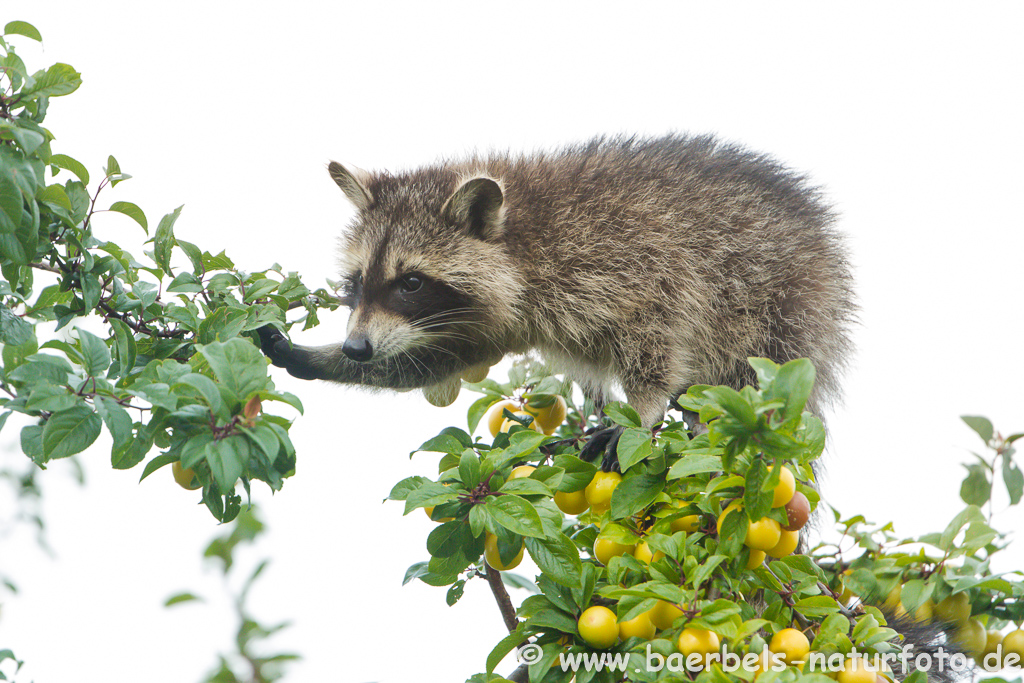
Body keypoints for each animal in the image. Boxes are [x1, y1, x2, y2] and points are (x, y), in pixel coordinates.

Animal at [258, 134, 856, 464]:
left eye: (410, 282)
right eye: (357, 280)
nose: (355, 349)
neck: (519, 238)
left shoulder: (629, 259)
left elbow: (658, 328)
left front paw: (643, 409)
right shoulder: (484, 320)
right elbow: (435, 358)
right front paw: (311, 357)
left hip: (780, 304)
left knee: (754, 369)